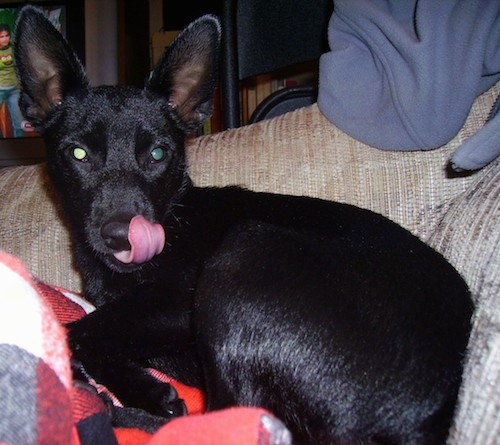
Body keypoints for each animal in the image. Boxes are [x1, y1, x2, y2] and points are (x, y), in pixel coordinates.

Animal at [14, 7, 472, 444]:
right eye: (78, 153)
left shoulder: (176, 305)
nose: (122, 236)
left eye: (159, 154)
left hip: (245, 250)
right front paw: (147, 389)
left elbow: (74, 331)